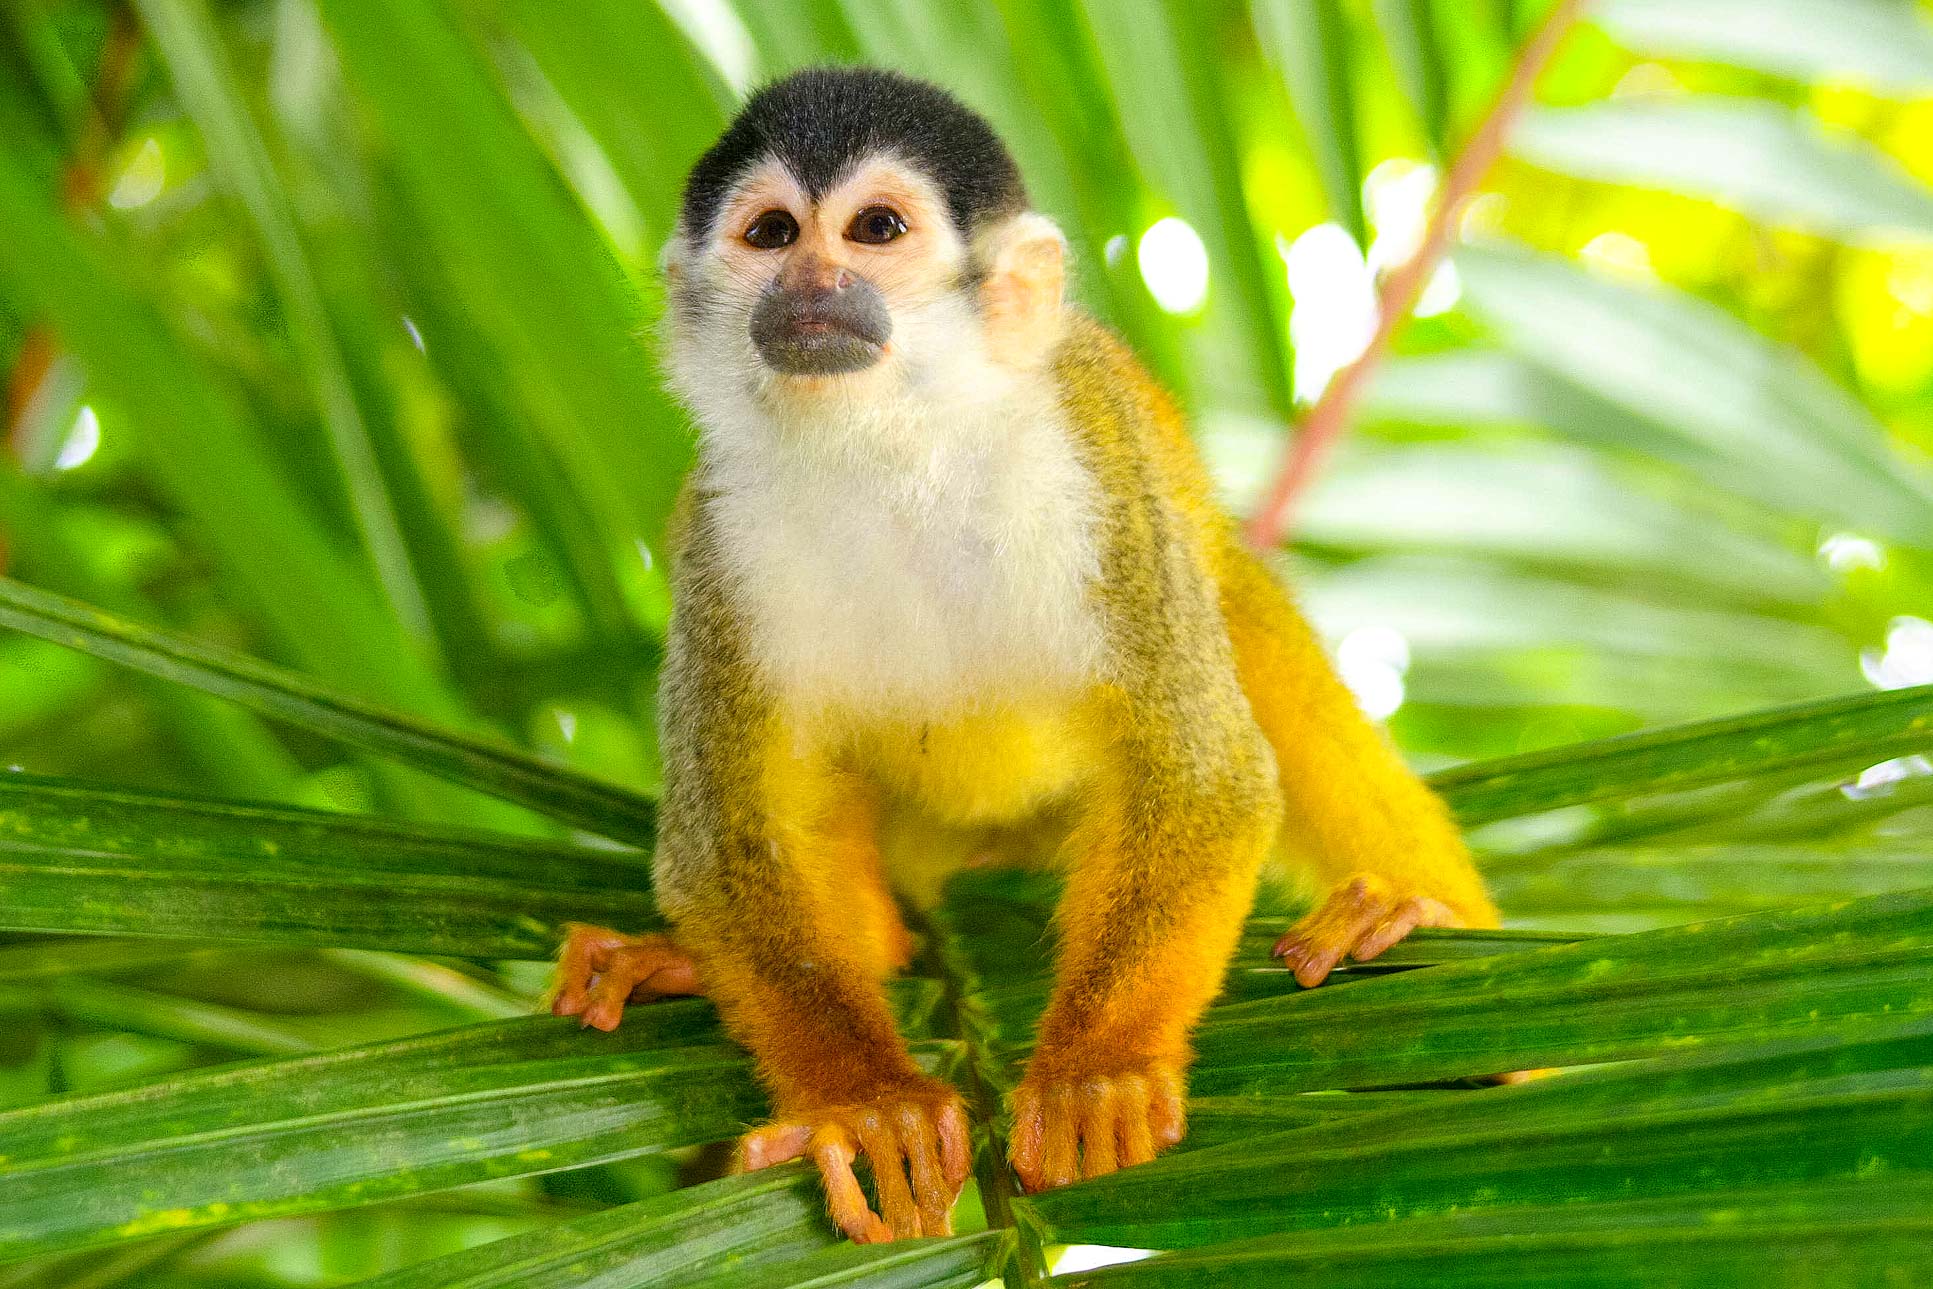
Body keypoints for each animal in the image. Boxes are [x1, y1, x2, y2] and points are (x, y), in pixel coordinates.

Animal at [549, 67, 1498, 1244]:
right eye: (769, 233)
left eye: (875, 229)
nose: (810, 282)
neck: (890, 440)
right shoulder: (713, 534)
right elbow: (725, 845)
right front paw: (863, 1101)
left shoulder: (1096, 453)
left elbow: (1202, 775)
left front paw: (1099, 1072)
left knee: (1232, 618)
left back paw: (1414, 933)